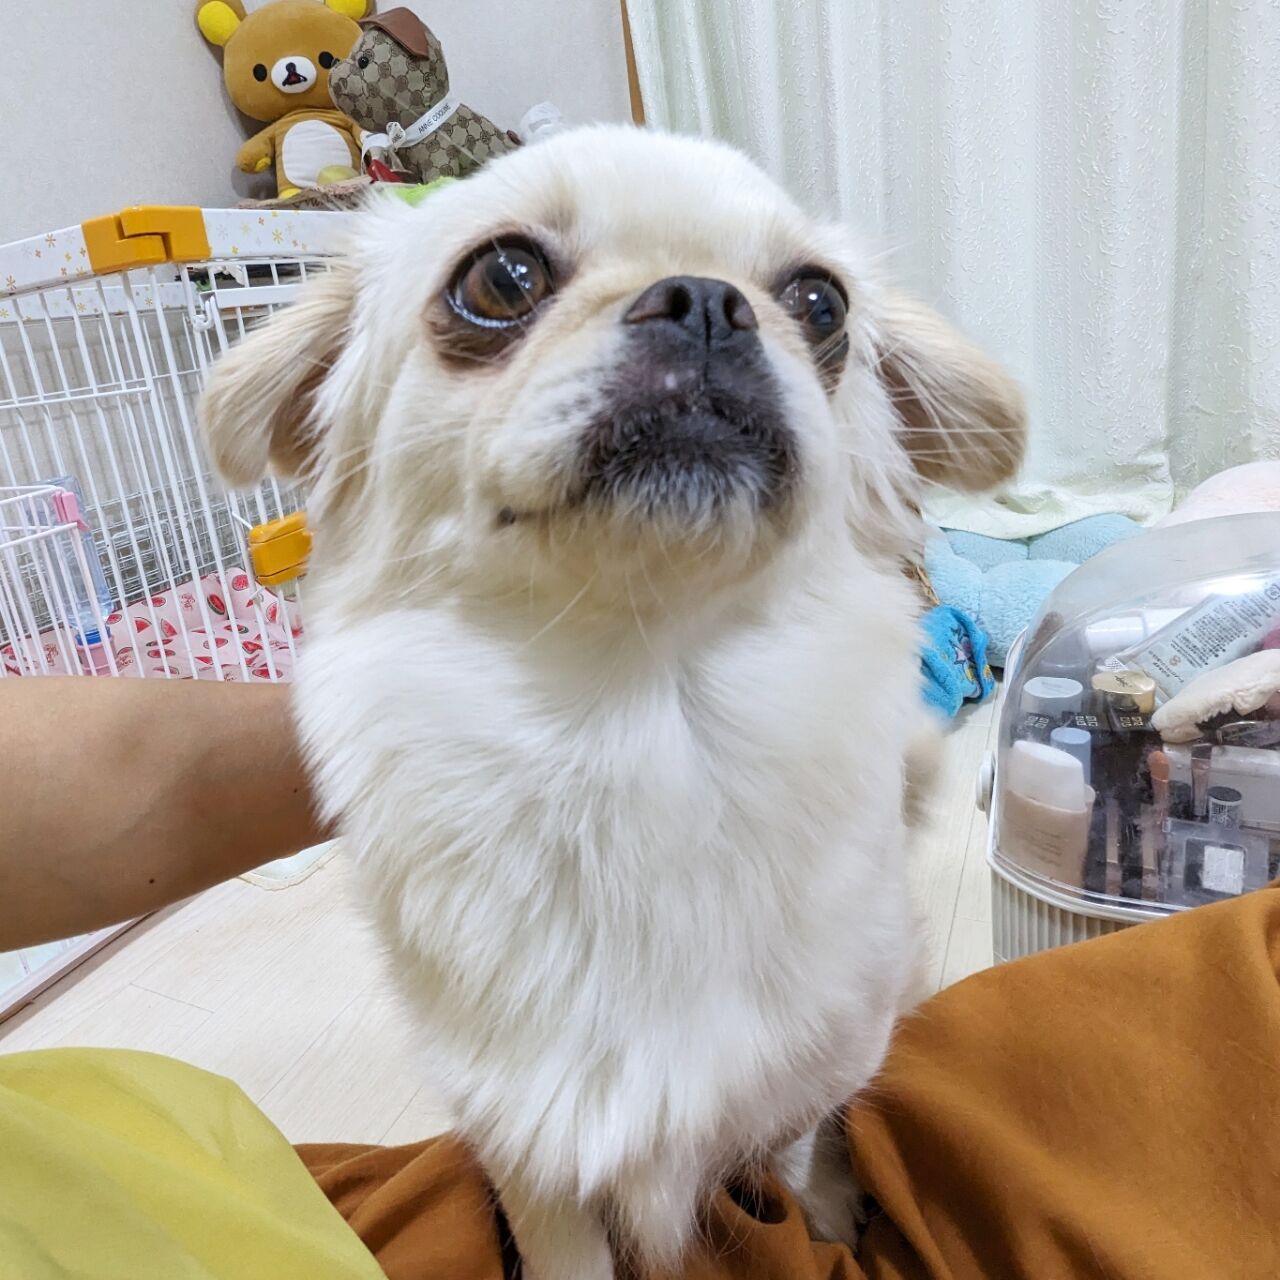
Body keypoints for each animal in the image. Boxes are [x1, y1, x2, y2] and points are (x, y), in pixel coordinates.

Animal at [200, 125, 1024, 1279]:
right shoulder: (527, 1140)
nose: (707, 301)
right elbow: (565, 1247)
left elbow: (802, 1152)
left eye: (820, 303)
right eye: (500, 279)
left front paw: (827, 1219)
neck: (638, 714)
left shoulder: (808, 1071)